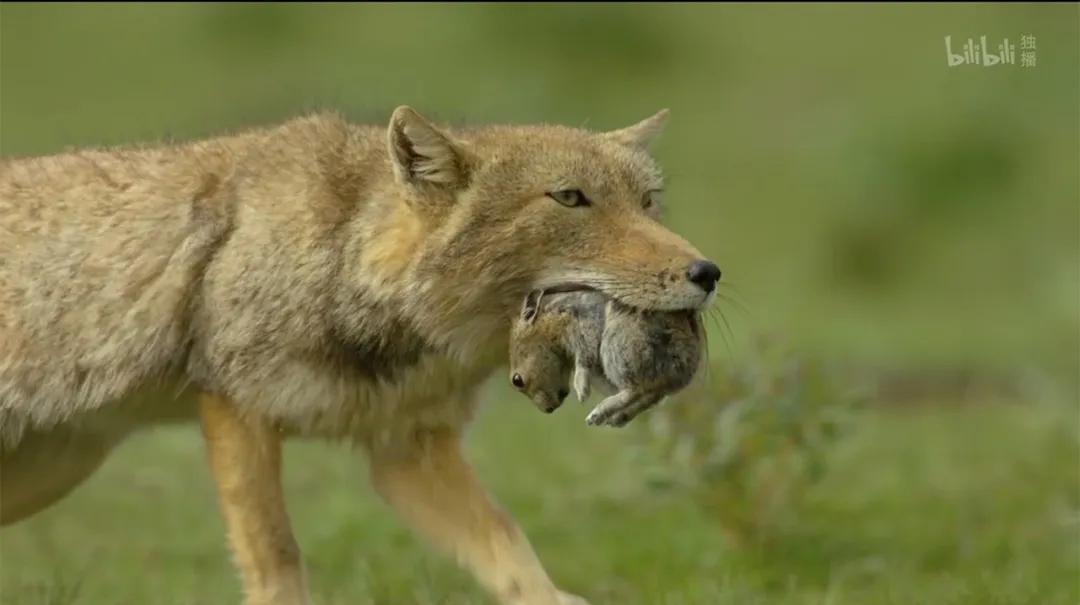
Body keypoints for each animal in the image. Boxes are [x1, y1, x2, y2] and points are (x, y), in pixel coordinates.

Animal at [4, 107, 725, 605]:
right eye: (571, 197)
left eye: (647, 202)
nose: (708, 271)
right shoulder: (236, 413)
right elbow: (277, 558)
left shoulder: (408, 450)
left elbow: (507, 544)